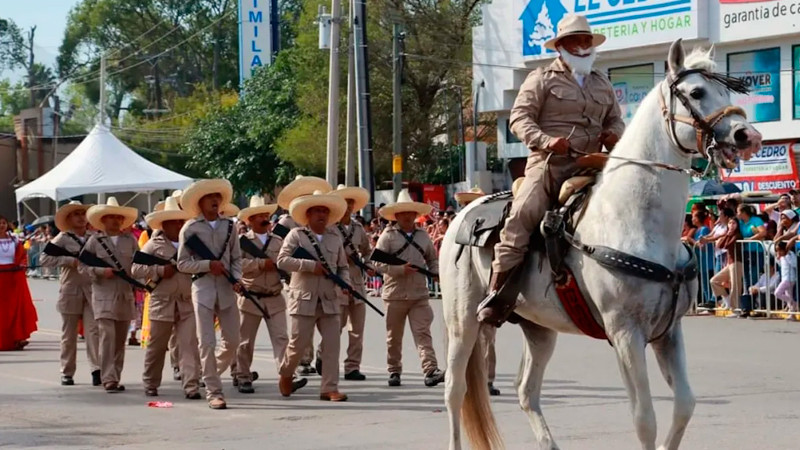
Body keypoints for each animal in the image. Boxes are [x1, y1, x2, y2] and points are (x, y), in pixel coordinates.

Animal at [440, 39, 764, 450]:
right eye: (696, 93)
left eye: (727, 91)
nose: (747, 136)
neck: (635, 221)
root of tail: (462, 213)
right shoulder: (625, 333)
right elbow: (644, 418)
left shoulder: (668, 331)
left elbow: (685, 405)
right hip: (462, 321)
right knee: (455, 389)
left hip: (538, 328)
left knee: (526, 390)